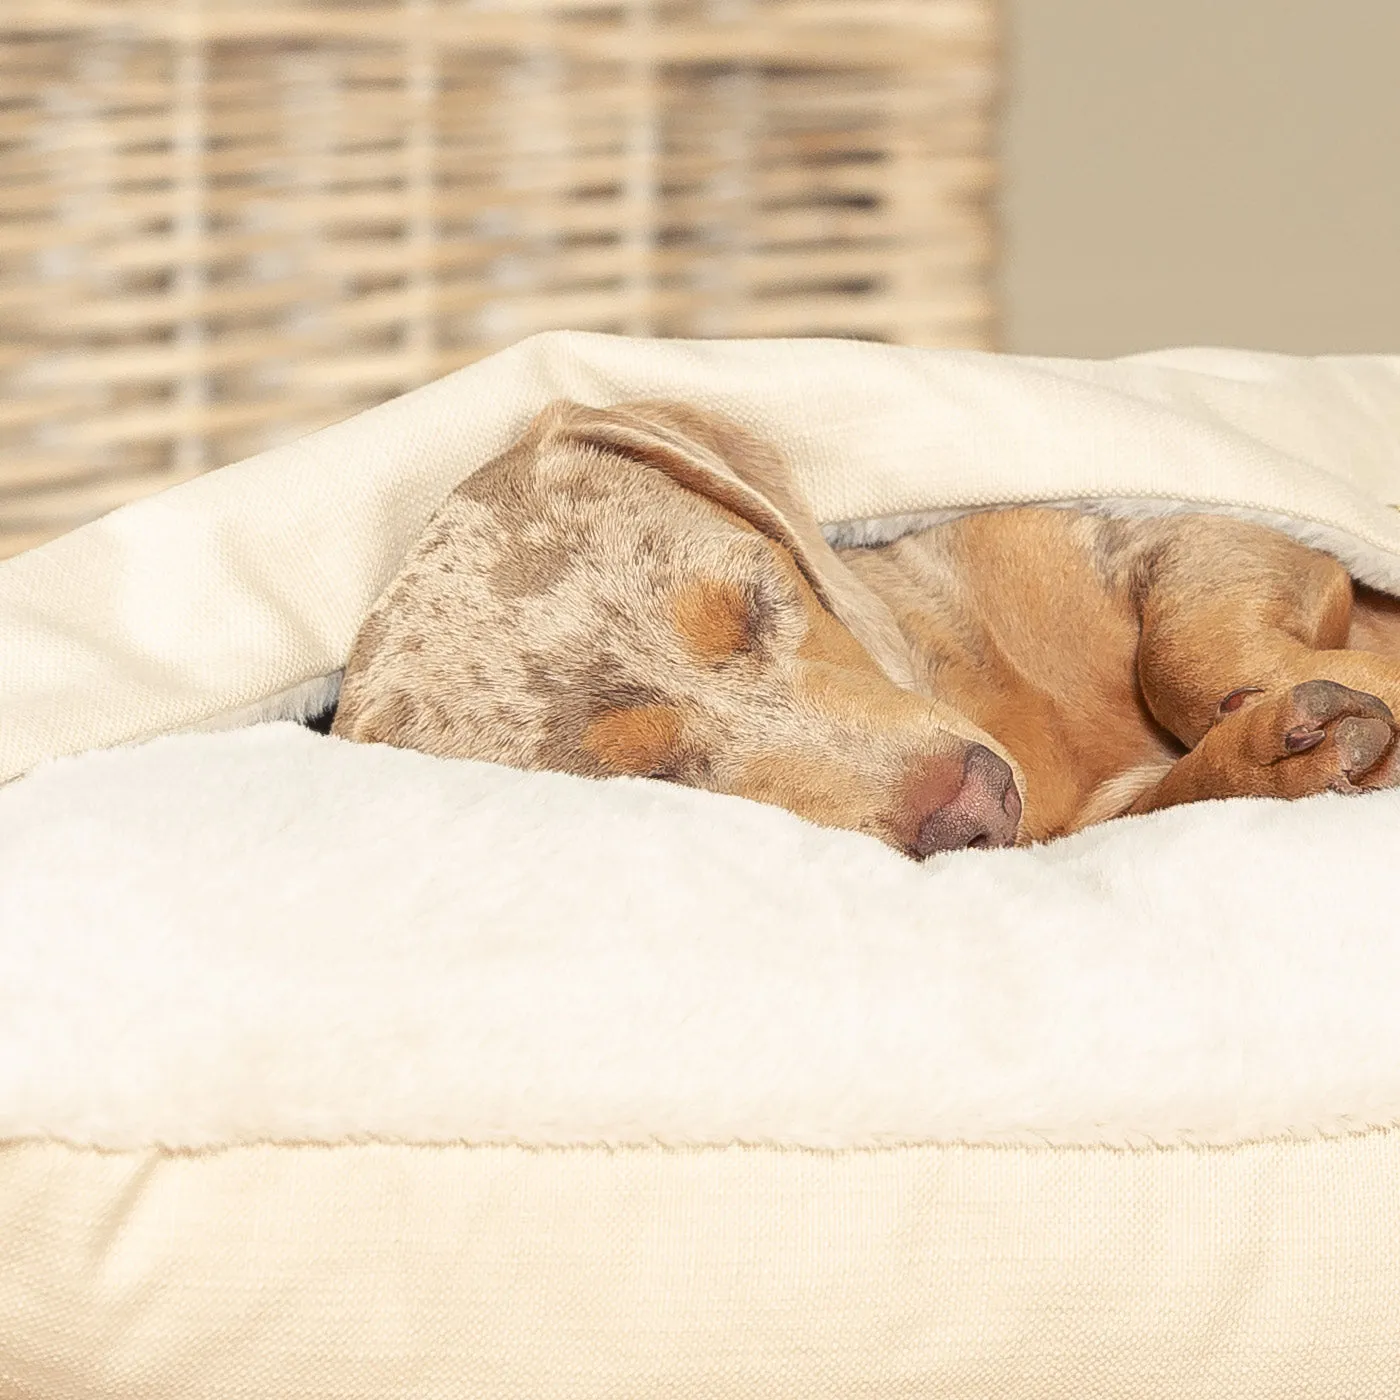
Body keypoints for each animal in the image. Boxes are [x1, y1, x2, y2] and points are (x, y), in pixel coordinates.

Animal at [322, 397, 1400, 851]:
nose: (971, 805)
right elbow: (1165, 794)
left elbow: (1179, 649)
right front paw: (1274, 756)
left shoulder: (1194, 528)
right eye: (657, 779)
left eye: (762, 596)